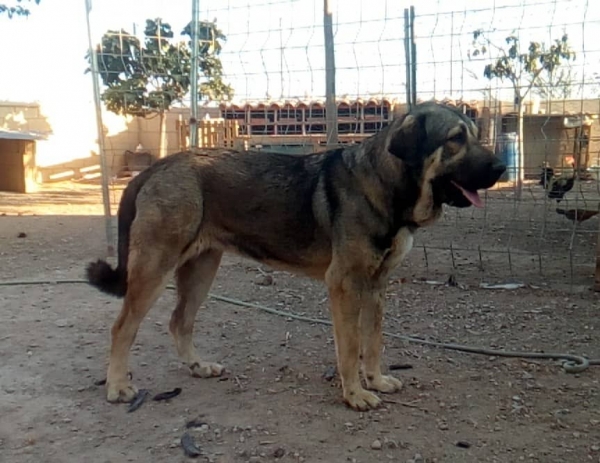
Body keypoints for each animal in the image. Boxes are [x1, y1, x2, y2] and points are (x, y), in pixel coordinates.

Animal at [84, 102, 506, 414]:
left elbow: (373, 342)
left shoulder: (376, 286)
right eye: (455, 139)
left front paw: (375, 380)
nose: (502, 167)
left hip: (202, 269)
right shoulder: (344, 286)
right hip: (154, 270)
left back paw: (197, 366)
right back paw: (118, 386)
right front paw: (354, 394)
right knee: (122, 328)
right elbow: (350, 347)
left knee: (179, 322)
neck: (387, 185)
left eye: (474, 134)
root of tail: (157, 166)